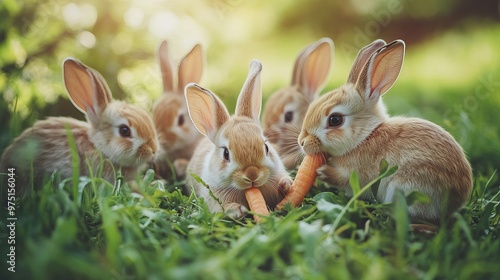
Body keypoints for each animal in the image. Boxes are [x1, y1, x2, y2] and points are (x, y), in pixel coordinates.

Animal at [298, 40, 474, 228]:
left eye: (335, 120)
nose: (302, 142)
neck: (364, 137)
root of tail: (457, 199)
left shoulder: (358, 173)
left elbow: (344, 178)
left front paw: (322, 172)